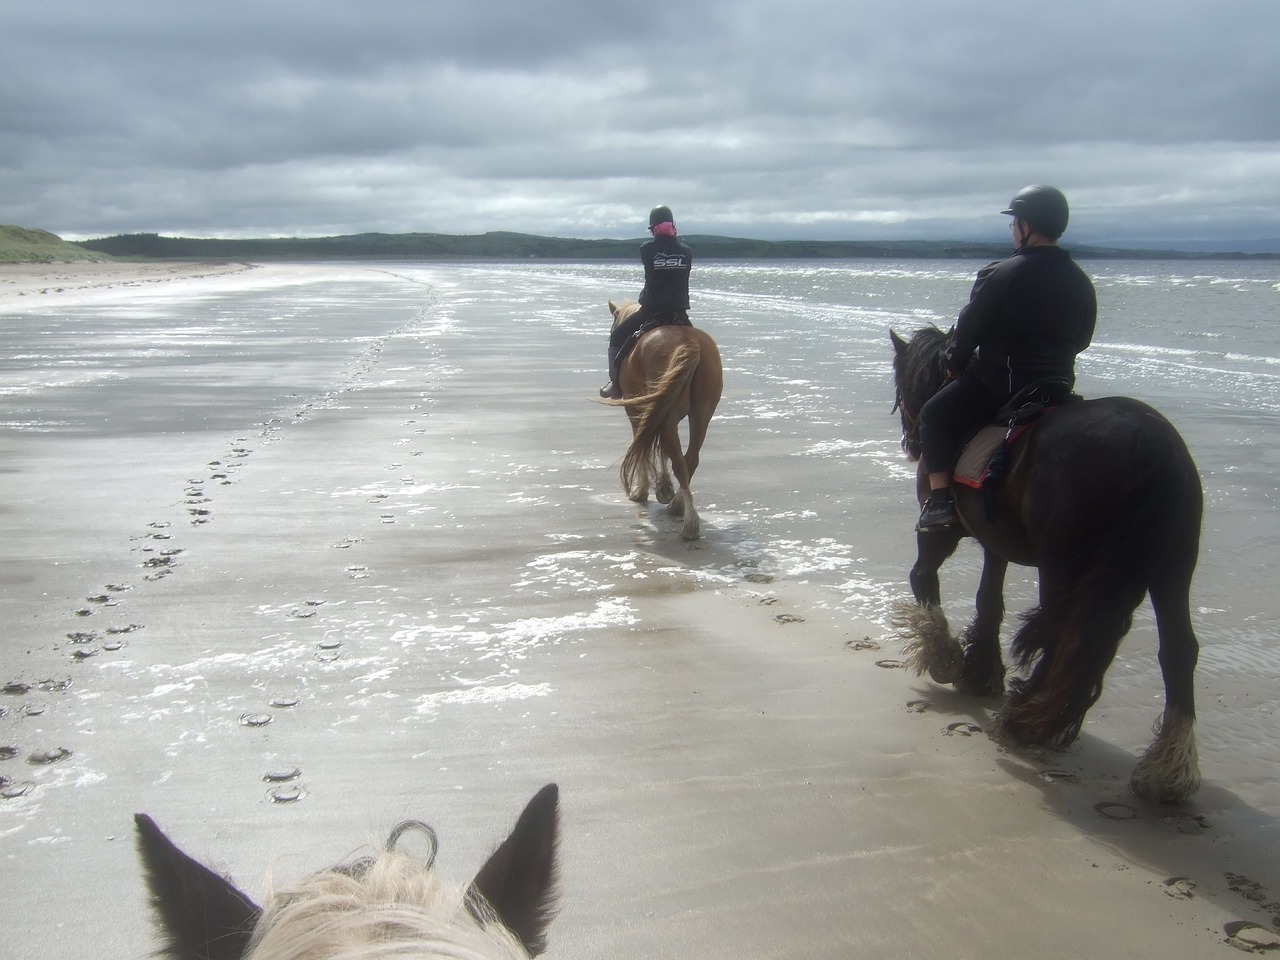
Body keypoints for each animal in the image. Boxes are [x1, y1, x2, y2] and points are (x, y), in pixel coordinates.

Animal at [601, 300, 721, 542]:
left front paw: (643, 490)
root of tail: (690, 343)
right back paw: (678, 506)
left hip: (667, 413)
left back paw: (688, 523)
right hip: (701, 414)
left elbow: (643, 445)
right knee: (689, 459)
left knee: (678, 460)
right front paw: (662, 488)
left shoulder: (636, 408)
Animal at [890, 330, 1198, 803]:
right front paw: (980, 671)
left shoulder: (939, 533)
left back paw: (1025, 719)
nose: (911, 442)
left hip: (1063, 566)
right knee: (1178, 651)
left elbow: (922, 576)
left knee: (1062, 633)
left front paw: (945, 657)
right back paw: (1168, 768)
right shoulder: (995, 541)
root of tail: (1152, 450)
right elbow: (988, 599)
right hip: (1172, 572)